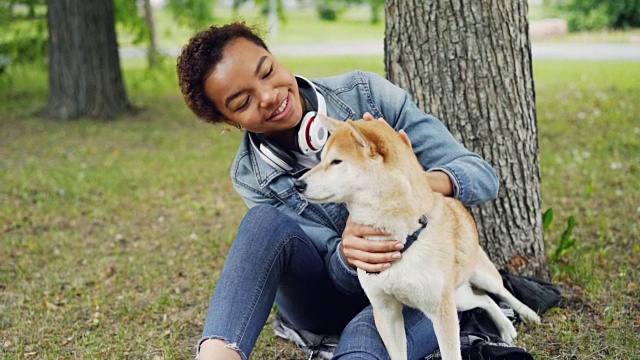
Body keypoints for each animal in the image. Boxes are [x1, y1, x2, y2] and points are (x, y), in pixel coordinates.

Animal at [296, 116, 540, 358]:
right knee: (485, 299)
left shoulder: (441, 312)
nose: (298, 184)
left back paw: (528, 315)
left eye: (336, 162)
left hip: (475, 279)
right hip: (458, 298)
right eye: (322, 160)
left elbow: (451, 353)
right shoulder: (385, 311)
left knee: (500, 291)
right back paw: (505, 326)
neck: (404, 237)